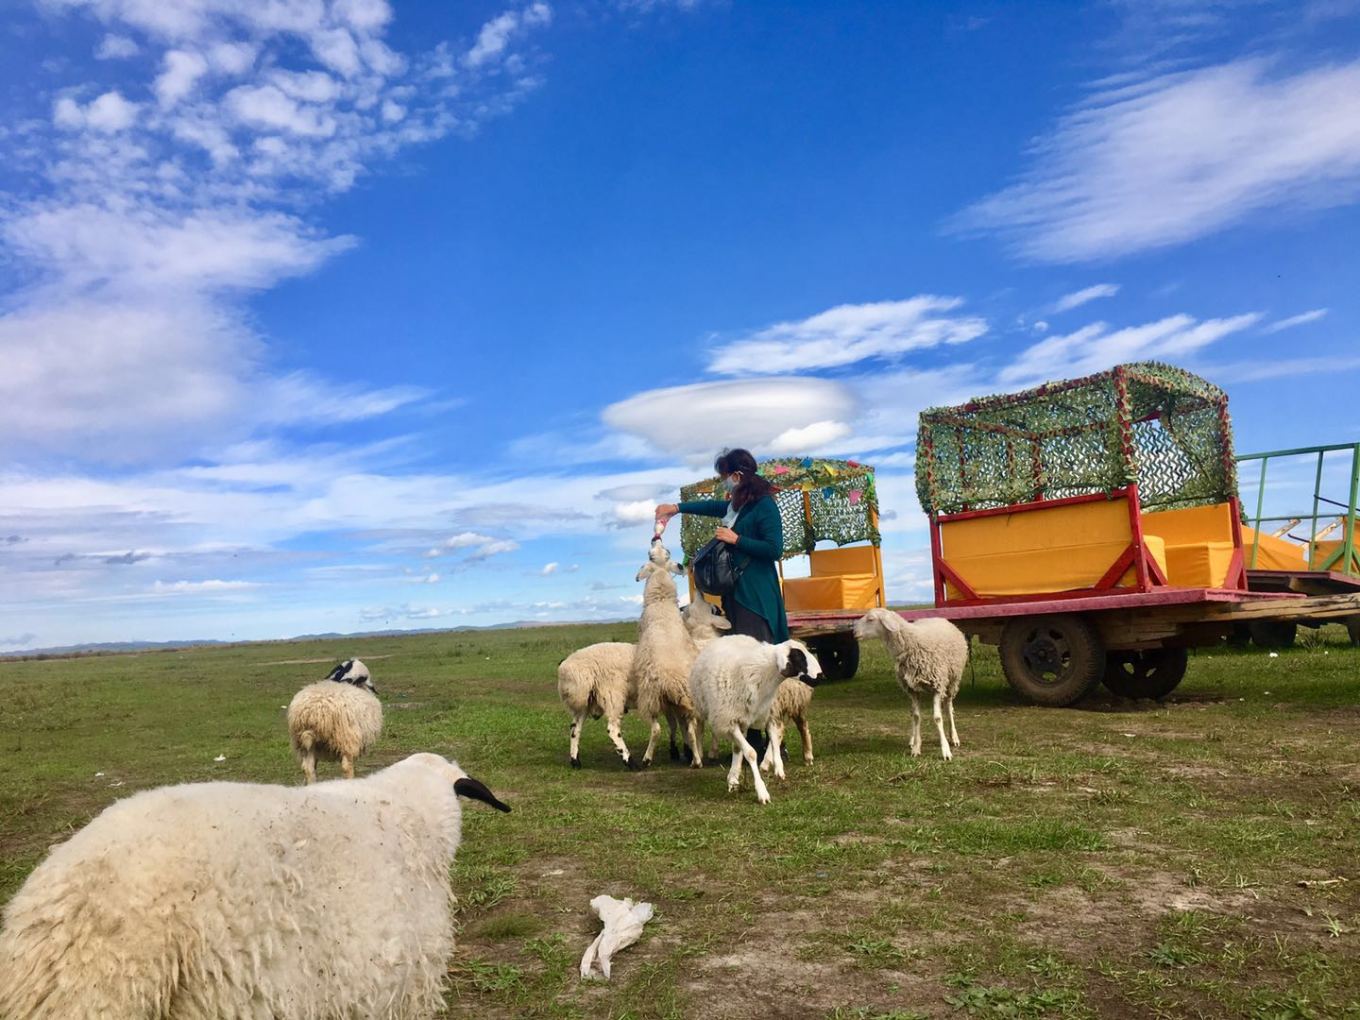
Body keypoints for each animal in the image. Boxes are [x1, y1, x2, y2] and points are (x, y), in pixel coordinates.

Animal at [286, 658, 383, 788]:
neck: (344, 677)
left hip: (305, 744)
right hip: (346, 739)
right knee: (346, 767)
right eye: (365, 678)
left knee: (308, 768)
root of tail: (313, 712)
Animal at [552, 598, 728, 767]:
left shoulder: (672, 703)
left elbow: (677, 725)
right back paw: (630, 761)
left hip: (585, 701)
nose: (720, 608)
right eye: (713, 609)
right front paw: (700, 753)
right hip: (612, 695)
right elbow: (698, 728)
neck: (702, 641)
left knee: (575, 729)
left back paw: (575, 761)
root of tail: (567, 666)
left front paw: (681, 751)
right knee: (613, 729)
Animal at [685, 636, 821, 805]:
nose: (821, 675)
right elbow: (750, 753)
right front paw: (762, 792)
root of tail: (728, 636)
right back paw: (734, 778)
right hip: (735, 720)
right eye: (798, 656)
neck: (763, 673)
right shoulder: (729, 721)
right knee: (738, 748)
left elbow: (774, 738)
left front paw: (778, 769)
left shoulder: (768, 713)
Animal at [848, 612, 968, 761]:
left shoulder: (937, 685)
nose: (854, 633)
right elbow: (916, 716)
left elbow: (937, 718)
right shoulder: (912, 690)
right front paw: (916, 747)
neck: (911, 643)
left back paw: (954, 737)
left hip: (952, 681)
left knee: (949, 708)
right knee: (913, 713)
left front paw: (945, 750)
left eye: (870, 619)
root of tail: (938, 618)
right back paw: (913, 739)